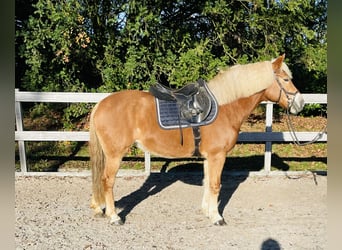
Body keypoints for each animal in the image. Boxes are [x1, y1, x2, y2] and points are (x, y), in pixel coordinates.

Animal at [88, 53, 304, 226]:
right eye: (285, 79)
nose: (300, 103)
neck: (225, 107)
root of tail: (100, 104)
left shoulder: (210, 157)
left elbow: (208, 182)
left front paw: (207, 212)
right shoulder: (218, 155)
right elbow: (215, 185)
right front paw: (217, 217)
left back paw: (99, 208)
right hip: (115, 155)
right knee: (107, 181)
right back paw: (114, 217)